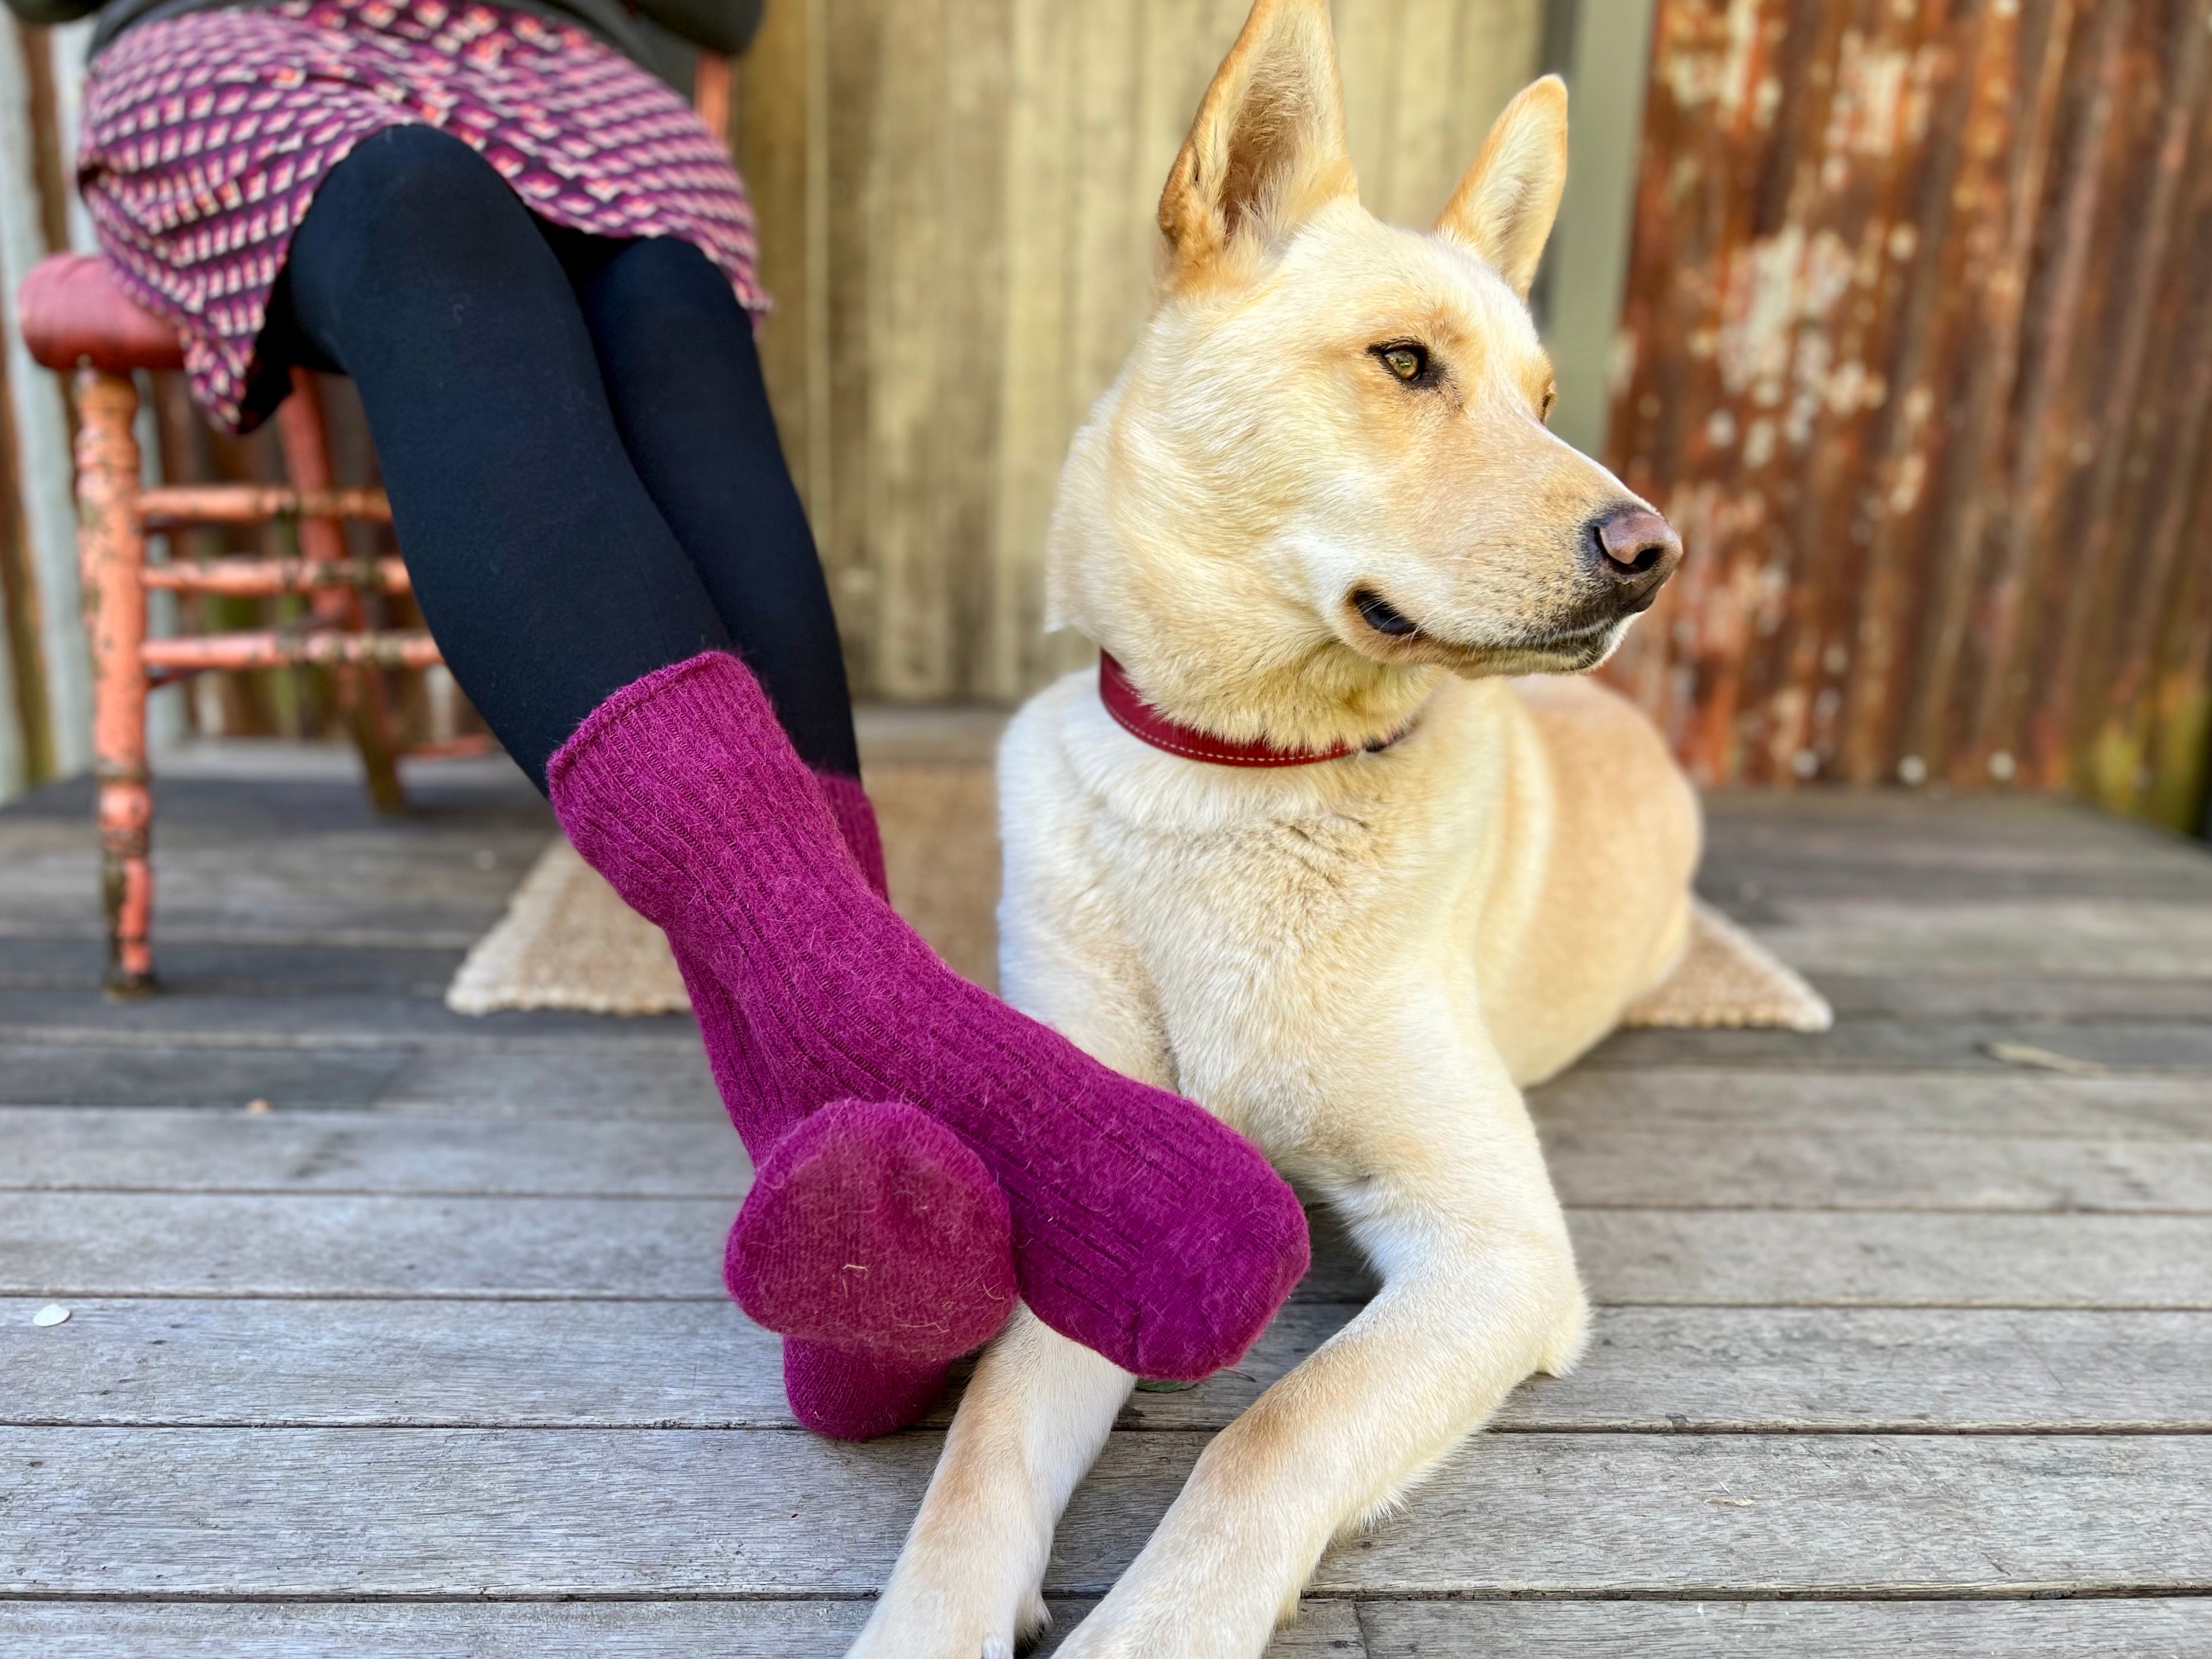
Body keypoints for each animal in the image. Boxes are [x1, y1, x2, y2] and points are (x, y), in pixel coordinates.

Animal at [844, 3, 1689, 1659]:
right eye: (1405, 363)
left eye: (1545, 403)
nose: (1652, 552)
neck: (1240, 777)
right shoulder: (1115, 1198)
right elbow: (981, 1449)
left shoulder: (1495, 1252)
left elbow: (1270, 1430)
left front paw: (1149, 1635)